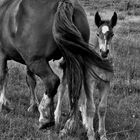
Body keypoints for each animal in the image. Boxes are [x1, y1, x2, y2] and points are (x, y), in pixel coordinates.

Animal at [0, 0, 112, 139]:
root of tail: (64, 3)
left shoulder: (5, 56)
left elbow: (3, 77)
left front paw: (3, 103)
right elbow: (30, 80)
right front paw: (33, 105)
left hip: (36, 61)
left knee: (52, 81)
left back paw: (45, 118)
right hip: (71, 59)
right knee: (74, 86)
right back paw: (69, 124)